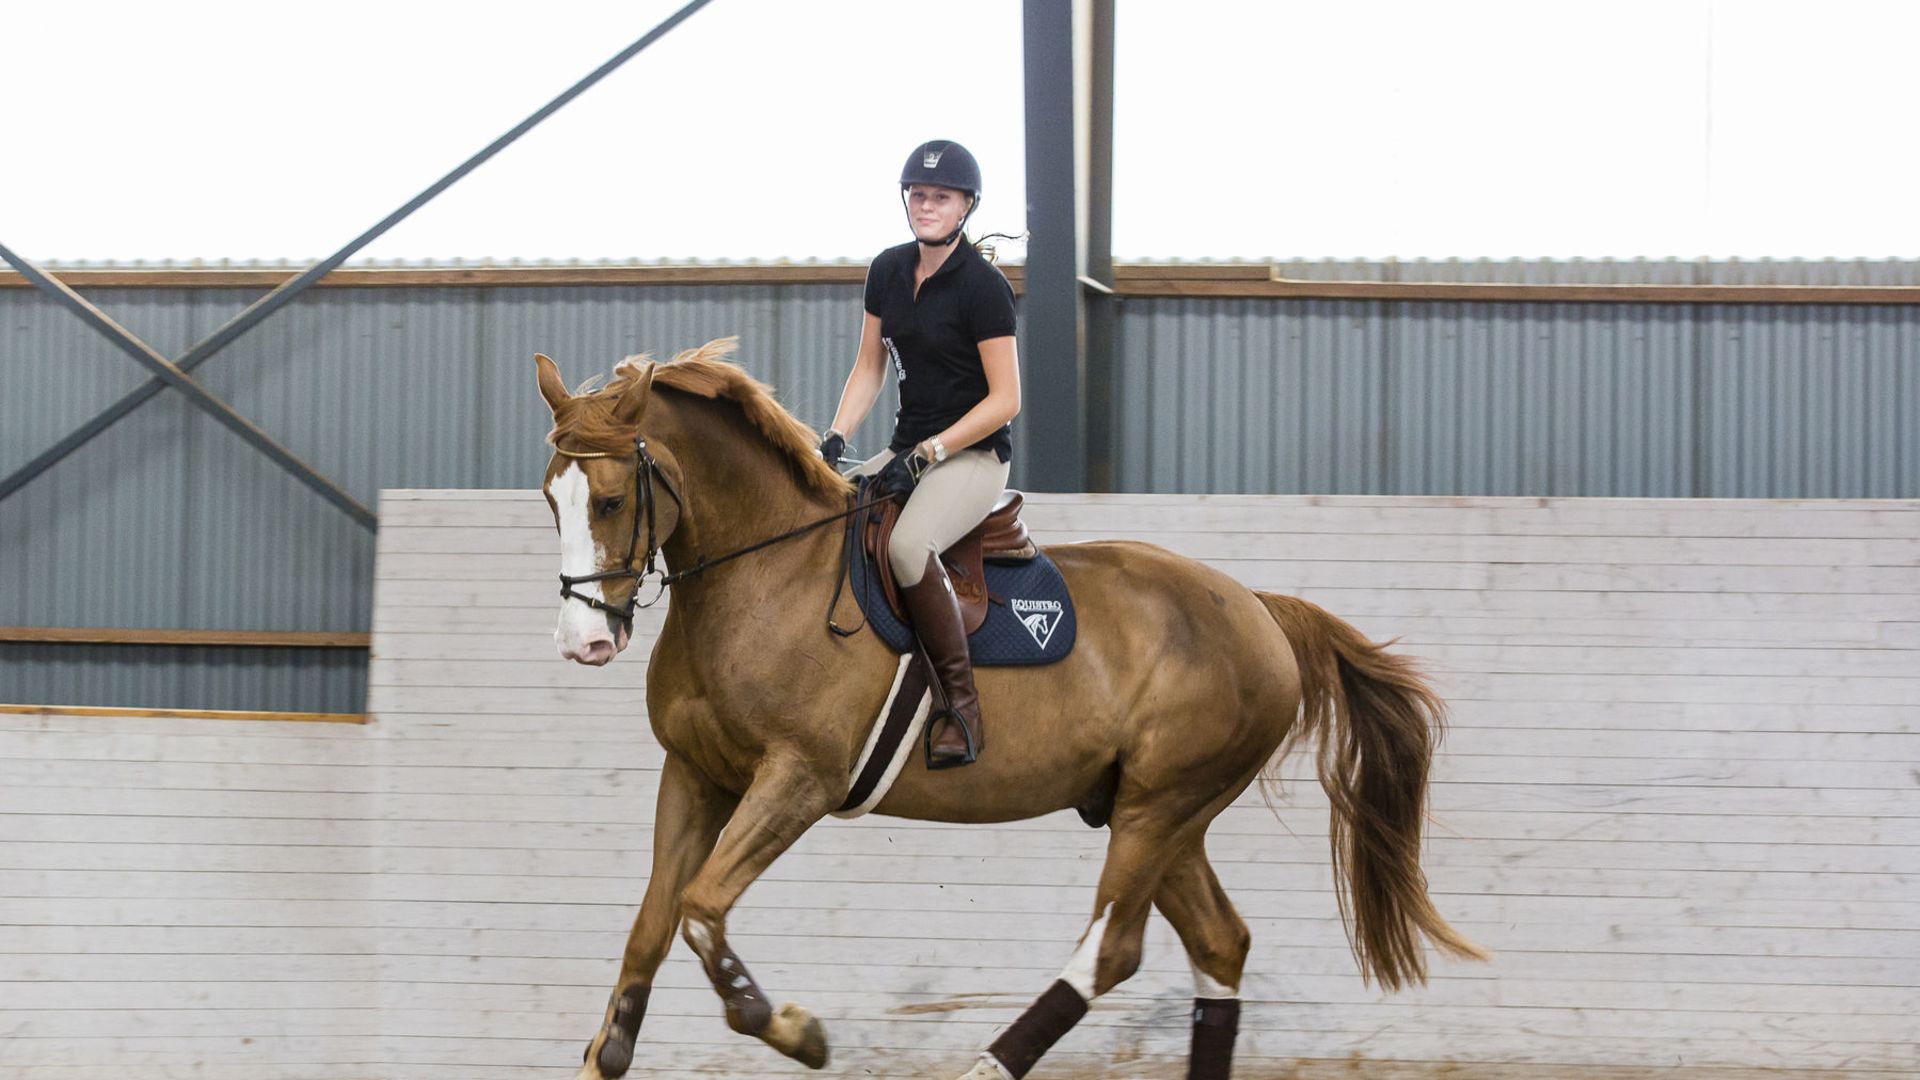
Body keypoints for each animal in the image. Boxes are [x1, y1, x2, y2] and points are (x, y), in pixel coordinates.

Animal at [541, 338, 1482, 1076]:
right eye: (552, 499)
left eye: (613, 500)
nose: (584, 642)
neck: (761, 576)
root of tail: (1256, 607)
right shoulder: (695, 774)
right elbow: (653, 924)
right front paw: (608, 1052)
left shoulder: (799, 781)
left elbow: (701, 911)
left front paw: (797, 1033)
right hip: (1161, 812)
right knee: (1219, 944)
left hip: (1162, 804)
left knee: (1112, 947)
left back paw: (986, 1066)